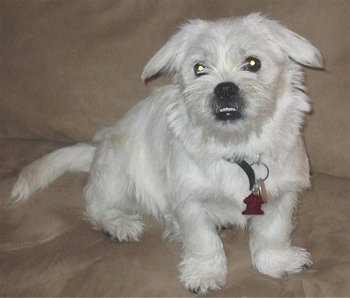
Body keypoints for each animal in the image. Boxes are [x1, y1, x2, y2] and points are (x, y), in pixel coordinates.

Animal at [10, 13, 322, 294]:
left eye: (253, 63)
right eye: (199, 68)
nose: (225, 89)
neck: (235, 147)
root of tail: (96, 151)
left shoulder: (281, 195)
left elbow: (273, 233)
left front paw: (277, 262)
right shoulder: (189, 201)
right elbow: (202, 241)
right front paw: (204, 274)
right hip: (116, 174)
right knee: (96, 207)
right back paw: (120, 224)